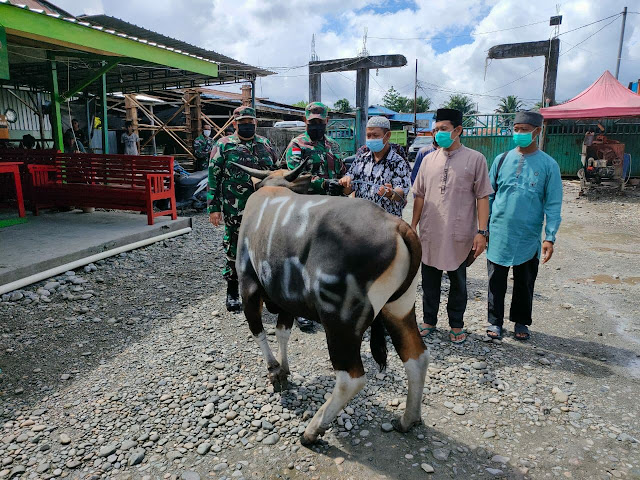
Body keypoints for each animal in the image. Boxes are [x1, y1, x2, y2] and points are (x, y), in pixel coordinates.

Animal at [232, 159, 428, 444]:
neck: (272, 189)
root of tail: (396, 226)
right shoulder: (286, 298)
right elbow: (282, 332)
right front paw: (284, 369)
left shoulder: (248, 286)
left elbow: (258, 331)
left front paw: (274, 370)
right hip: (399, 309)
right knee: (416, 357)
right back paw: (407, 420)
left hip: (339, 323)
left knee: (351, 379)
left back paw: (313, 430)